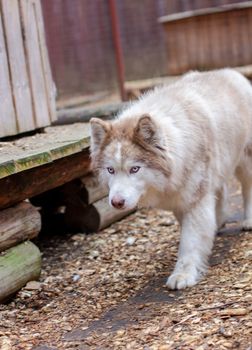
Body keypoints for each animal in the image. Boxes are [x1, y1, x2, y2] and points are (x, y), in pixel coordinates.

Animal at [89, 69, 252, 290]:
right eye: (111, 170)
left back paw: (248, 220)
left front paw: (183, 274)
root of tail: (232, 72)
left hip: (245, 162)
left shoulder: (195, 201)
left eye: (134, 169)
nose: (116, 202)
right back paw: (218, 222)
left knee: (247, 187)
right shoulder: (180, 200)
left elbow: (190, 241)